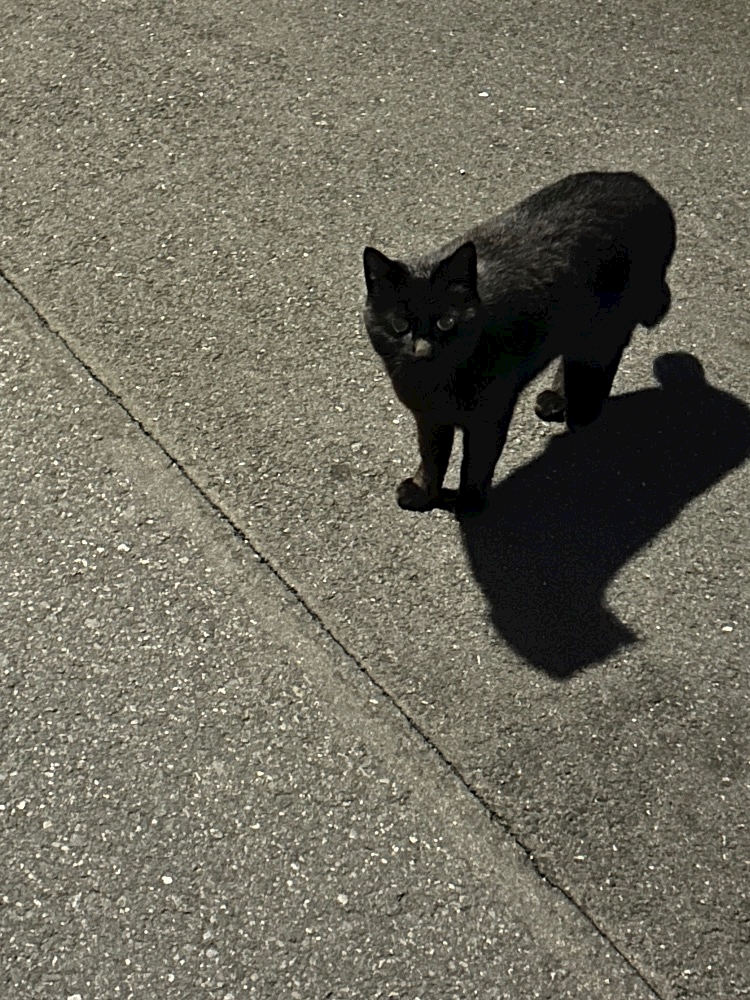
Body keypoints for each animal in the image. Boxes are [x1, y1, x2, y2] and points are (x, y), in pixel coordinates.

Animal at [362, 171, 676, 517]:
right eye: (400, 325)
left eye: (447, 321)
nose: (422, 350)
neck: (435, 385)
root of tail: (641, 185)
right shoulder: (430, 419)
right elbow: (431, 458)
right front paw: (422, 494)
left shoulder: (490, 416)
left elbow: (476, 464)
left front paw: (469, 505)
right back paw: (557, 399)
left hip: (604, 330)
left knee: (599, 365)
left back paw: (582, 416)